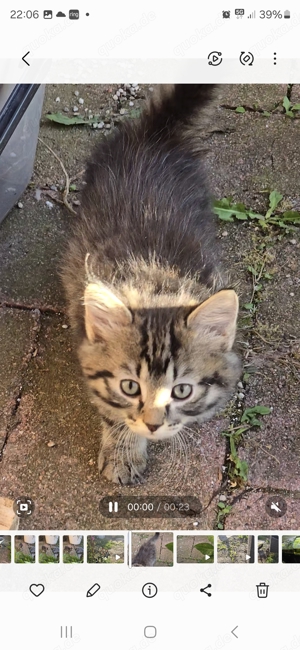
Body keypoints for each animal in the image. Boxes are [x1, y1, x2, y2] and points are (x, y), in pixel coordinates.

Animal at [61, 85, 241, 480]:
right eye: (130, 387)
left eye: (182, 390)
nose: (154, 424)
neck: (155, 285)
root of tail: (154, 134)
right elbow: (112, 410)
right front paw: (123, 452)